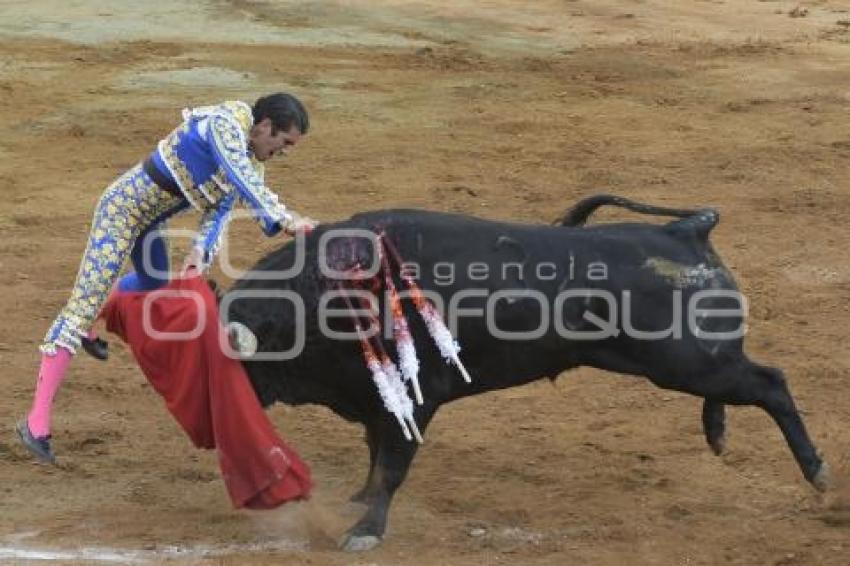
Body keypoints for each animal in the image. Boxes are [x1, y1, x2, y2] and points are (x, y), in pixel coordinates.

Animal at [222, 197, 824, 552]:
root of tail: (687, 229)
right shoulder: (377, 399)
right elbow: (375, 455)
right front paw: (360, 502)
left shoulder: (415, 398)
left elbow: (392, 465)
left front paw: (366, 531)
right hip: (697, 361)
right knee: (735, 385)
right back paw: (718, 432)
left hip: (687, 360)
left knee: (770, 382)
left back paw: (817, 474)